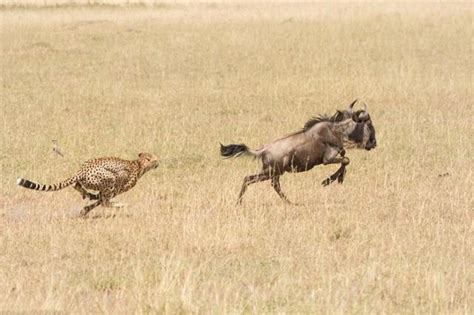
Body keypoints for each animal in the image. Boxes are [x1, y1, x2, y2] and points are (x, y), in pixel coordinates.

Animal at [16, 153, 159, 217]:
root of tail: (82, 170)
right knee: (105, 201)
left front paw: (84, 210)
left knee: (76, 185)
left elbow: (98, 200)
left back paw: (85, 193)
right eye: (155, 158)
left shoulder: (107, 191)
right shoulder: (115, 189)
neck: (138, 164)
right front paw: (86, 209)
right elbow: (102, 200)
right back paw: (120, 204)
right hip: (110, 178)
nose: (159, 163)